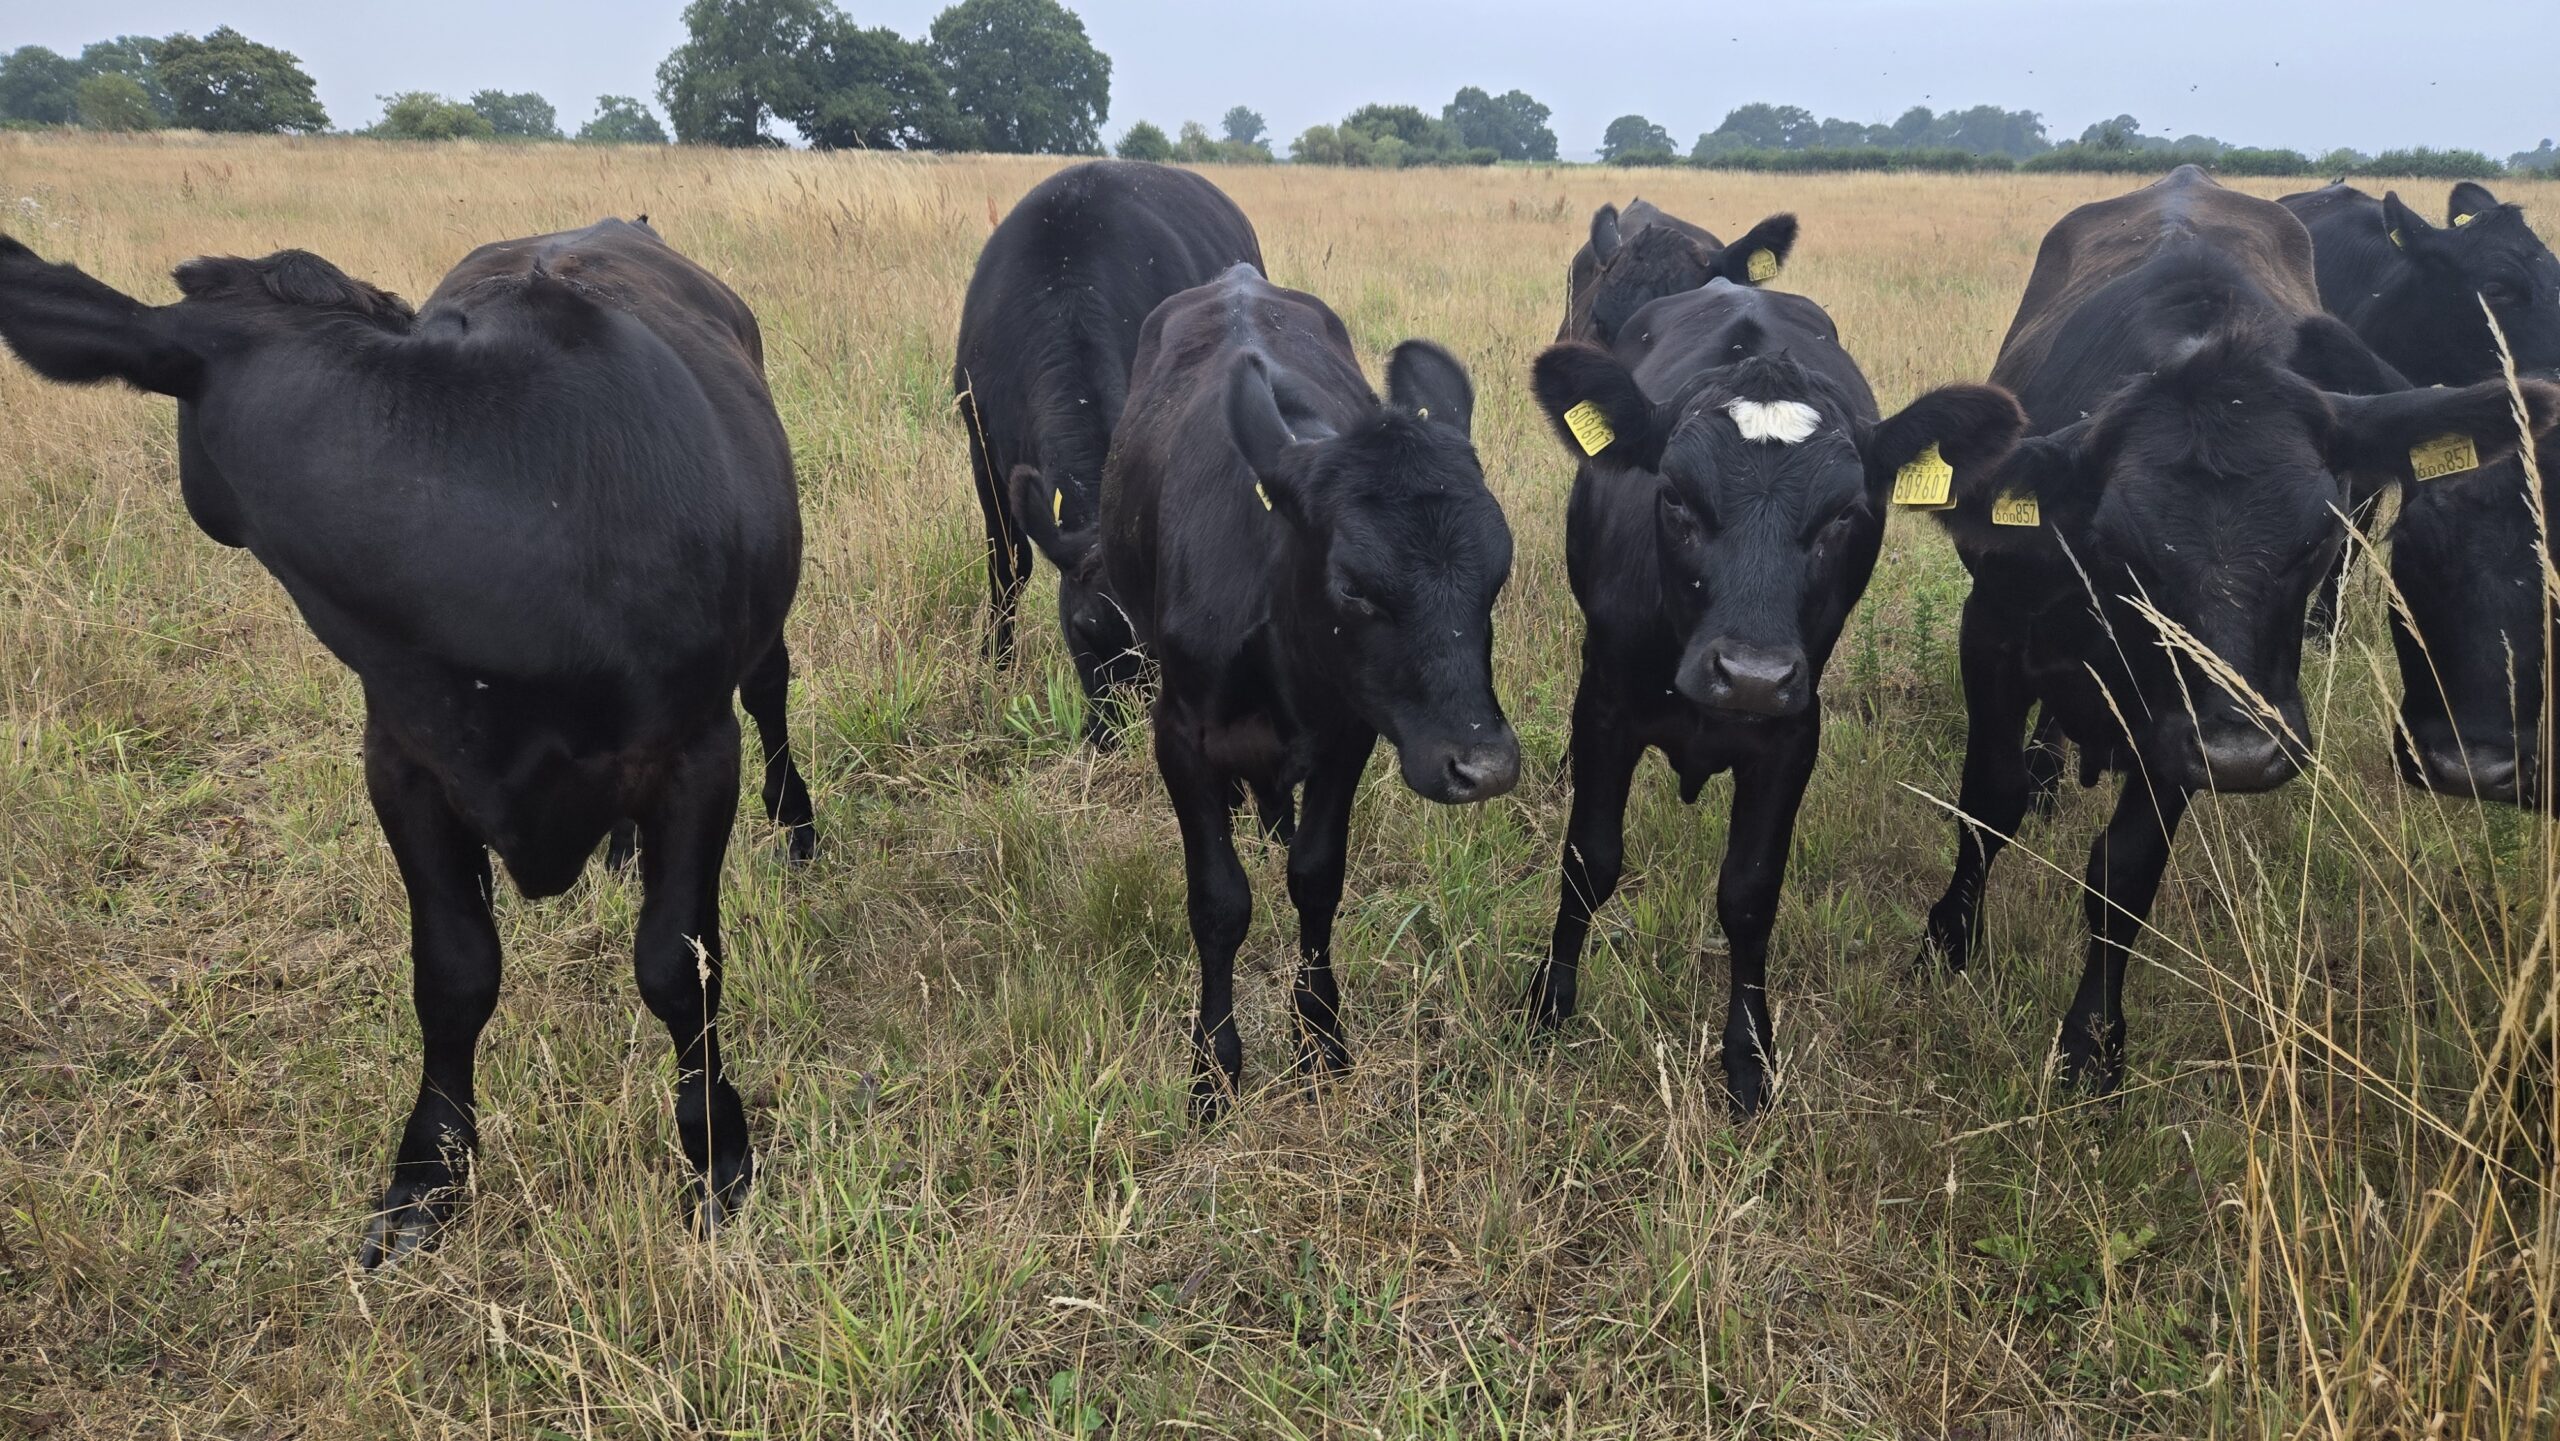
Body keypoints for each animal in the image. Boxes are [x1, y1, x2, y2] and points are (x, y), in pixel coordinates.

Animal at [0, 219, 817, 1264]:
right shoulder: (404, 765)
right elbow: (454, 973)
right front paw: (427, 1176)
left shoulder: (695, 755)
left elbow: (679, 965)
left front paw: (716, 1154)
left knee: (772, 693)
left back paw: (797, 827)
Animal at [954, 160, 1265, 745]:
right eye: (1083, 630)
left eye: (1161, 647)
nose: (1112, 733)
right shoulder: (982, 450)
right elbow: (1007, 566)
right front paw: (996, 665)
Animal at [1101, 264, 1519, 1116]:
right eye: (1353, 586)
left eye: (1499, 570)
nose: (1484, 765)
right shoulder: (1178, 736)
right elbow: (1219, 901)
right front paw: (1213, 1066)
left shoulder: (1347, 733)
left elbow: (1316, 878)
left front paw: (1322, 1040)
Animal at [1526, 280, 2024, 1115]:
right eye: (1674, 497)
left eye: (1845, 514)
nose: (1752, 674)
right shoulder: (1604, 707)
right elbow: (1590, 858)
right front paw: (1551, 1003)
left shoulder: (1793, 733)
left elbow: (1750, 892)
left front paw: (1748, 1053)